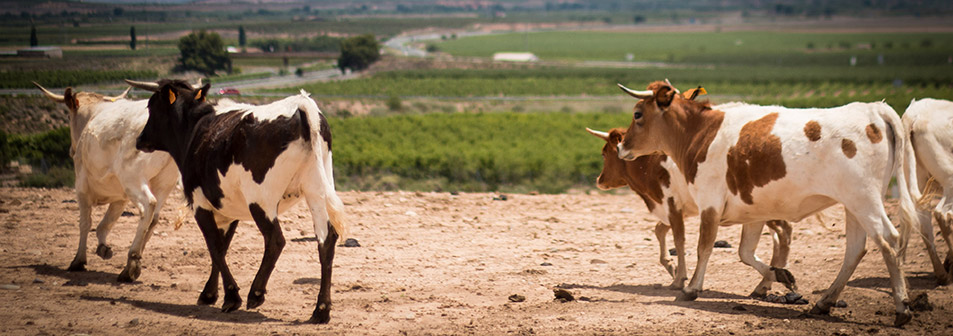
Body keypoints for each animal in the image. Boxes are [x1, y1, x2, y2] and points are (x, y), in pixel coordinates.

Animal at [33, 82, 178, 282]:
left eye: (69, 116)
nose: (71, 149)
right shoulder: (120, 198)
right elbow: (106, 223)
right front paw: (103, 248)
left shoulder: (81, 187)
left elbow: (85, 223)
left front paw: (78, 260)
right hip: (164, 183)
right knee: (154, 218)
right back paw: (133, 263)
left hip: (133, 179)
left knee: (148, 205)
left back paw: (132, 262)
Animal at [126, 78, 348, 322]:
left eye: (151, 106)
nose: (140, 139)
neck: (196, 130)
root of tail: (300, 105)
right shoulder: (229, 211)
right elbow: (222, 247)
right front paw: (211, 293)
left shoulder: (200, 203)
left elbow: (214, 246)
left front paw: (231, 296)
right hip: (315, 190)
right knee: (326, 241)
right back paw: (321, 309)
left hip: (261, 200)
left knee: (275, 240)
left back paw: (256, 293)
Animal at [584, 126, 800, 296]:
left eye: (604, 153)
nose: (599, 180)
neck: (651, 163)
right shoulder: (679, 209)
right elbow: (660, 230)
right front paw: (671, 267)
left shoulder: (672, 205)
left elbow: (679, 240)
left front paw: (679, 278)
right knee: (779, 237)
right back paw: (768, 281)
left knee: (783, 233)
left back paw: (769, 280)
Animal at [612, 80, 920, 326]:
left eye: (637, 114)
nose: (621, 146)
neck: (702, 132)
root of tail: (873, 109)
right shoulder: (754, 213)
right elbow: (745, 253)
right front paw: (779, 275)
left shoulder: (710, 204)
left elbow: (704, 247)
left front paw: (690, 289)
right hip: (854, 205)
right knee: (855, 249)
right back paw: (824, 303)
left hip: (864, 200)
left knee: (889, 240)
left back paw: (902, 308)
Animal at [900, 98, 952, 284]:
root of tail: (915, 113)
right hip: (950, 180)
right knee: (942, 214)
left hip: (919, 179)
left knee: (924, 222)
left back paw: (941, 272)